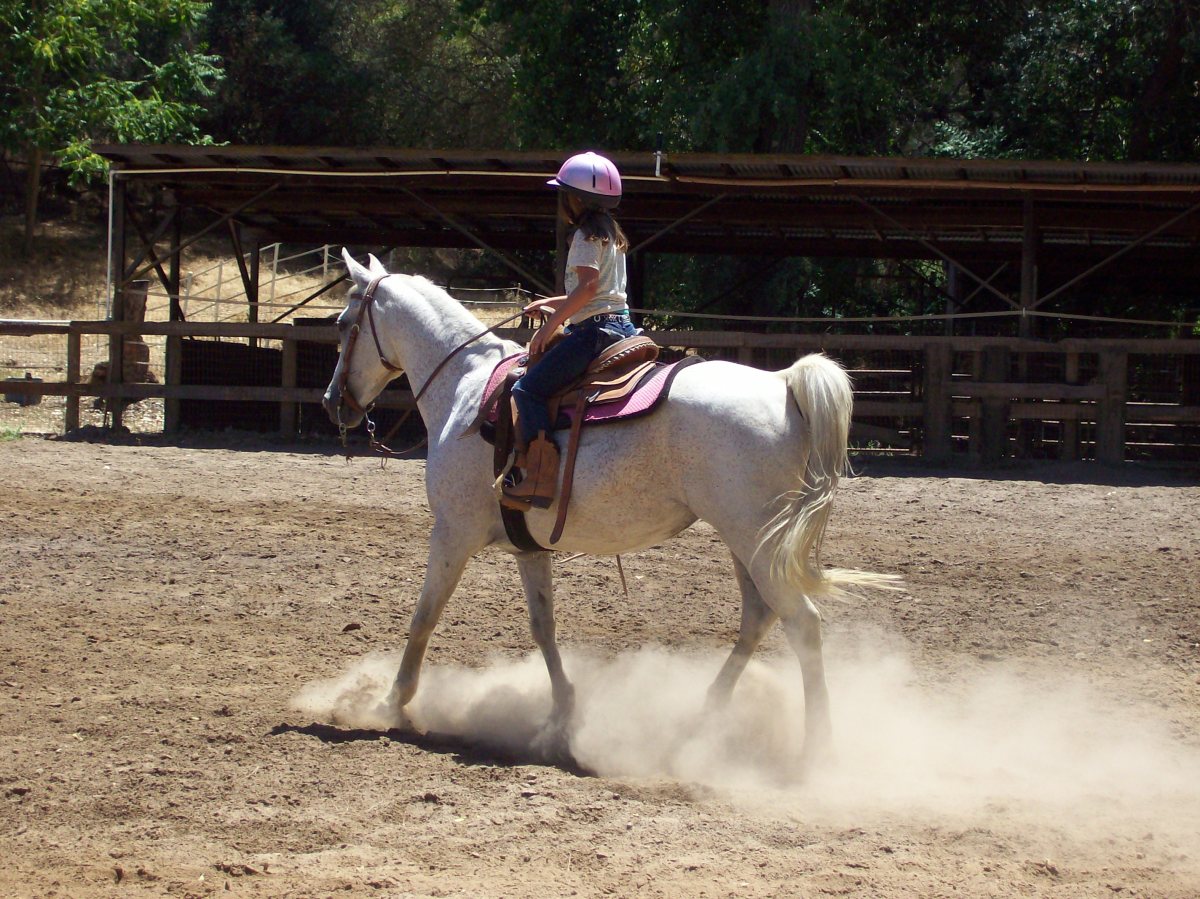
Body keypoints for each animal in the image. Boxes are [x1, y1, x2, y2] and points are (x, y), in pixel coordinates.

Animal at [322, 248, 898, 769]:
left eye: (344, 324)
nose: (333, 404)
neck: (464, 388)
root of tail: (783, 383)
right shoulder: (527, 547)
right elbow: (543, 627)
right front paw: (562, 716)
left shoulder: (451, 532)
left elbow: (424, 616)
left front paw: (389, 703)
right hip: (750, 541)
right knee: (759, 618)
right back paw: (702, 719)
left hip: (756, 538)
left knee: (802, 624)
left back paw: (816, 753)